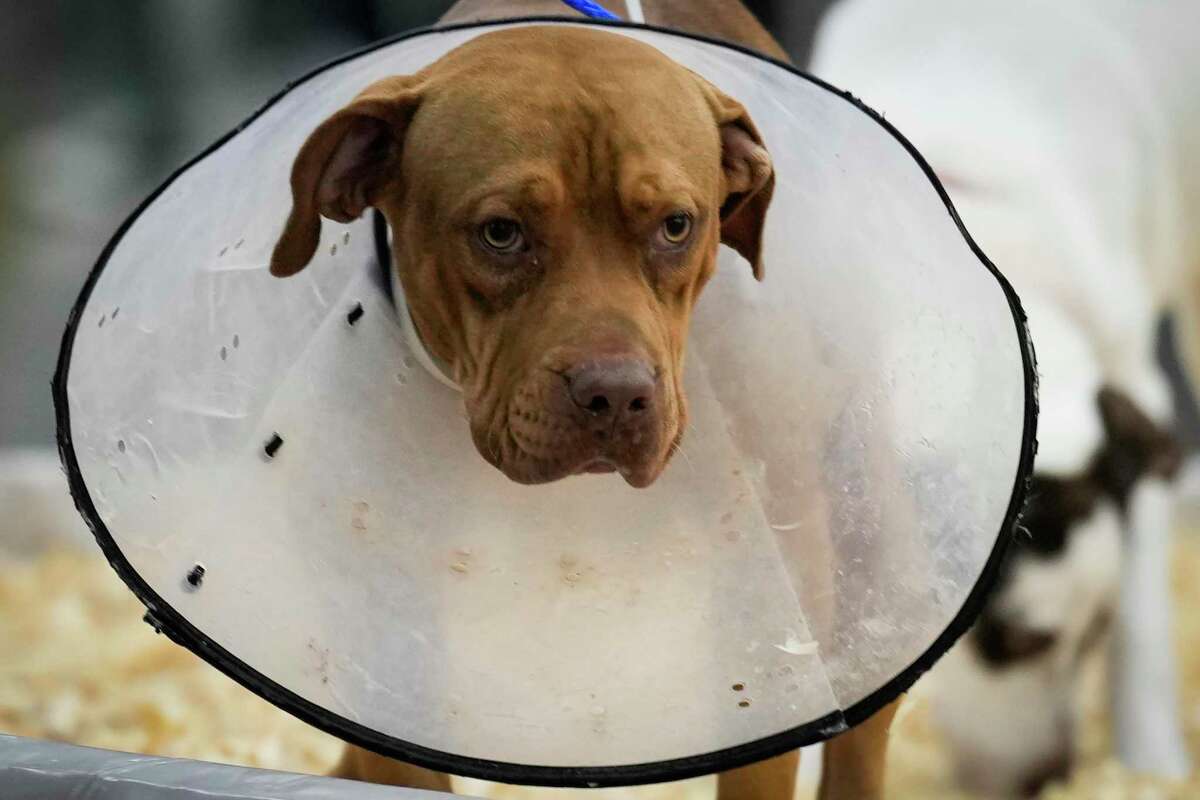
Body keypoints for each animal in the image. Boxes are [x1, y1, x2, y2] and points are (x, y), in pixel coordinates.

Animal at [811, 1, 1195, 796]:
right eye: (1017, 643)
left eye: (1092, 635)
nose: (1051, 777)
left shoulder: (1135, 381)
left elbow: (1143, 619)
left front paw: (1151, 761)